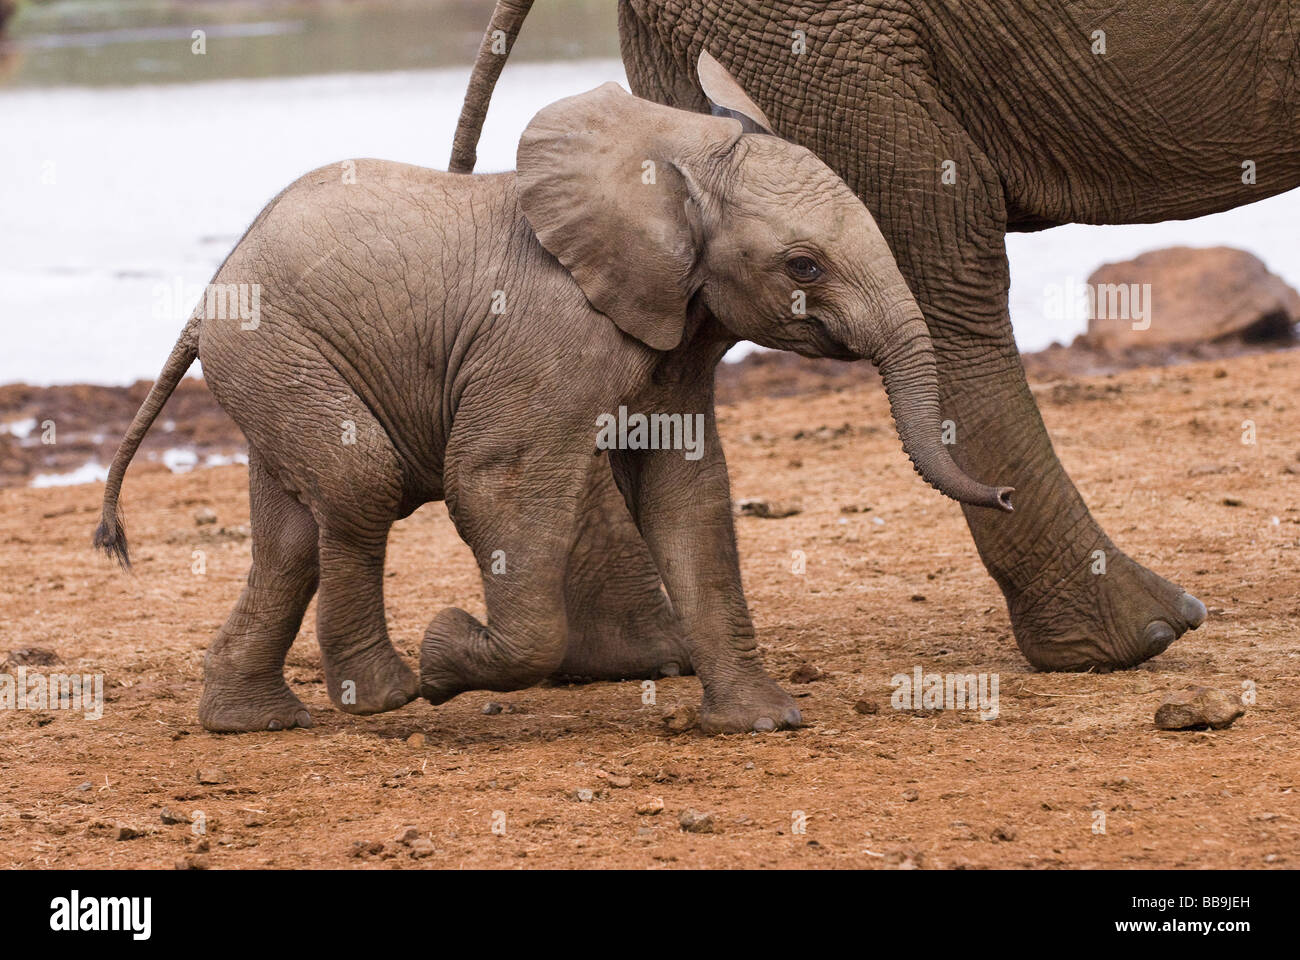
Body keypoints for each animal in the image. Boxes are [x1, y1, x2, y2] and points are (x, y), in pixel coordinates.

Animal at [96, 54, 1008, 733]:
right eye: (804, 266)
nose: (1000, 492)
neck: (673, 158)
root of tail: (207, 299)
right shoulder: (549, 334)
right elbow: (490, 480)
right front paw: (445, 656)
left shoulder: (673, 332)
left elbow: (689, 498)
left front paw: (763, 724)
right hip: (276, 351)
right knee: (358, 485)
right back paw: (387, 695)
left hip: (274, 365)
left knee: (290, 537)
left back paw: (251, 721)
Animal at [449, 0, 1300, 671]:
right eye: (800, 265)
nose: (999, 495)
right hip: (828, 31)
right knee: (944, 253)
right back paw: (1142, 632)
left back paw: (626, 656)